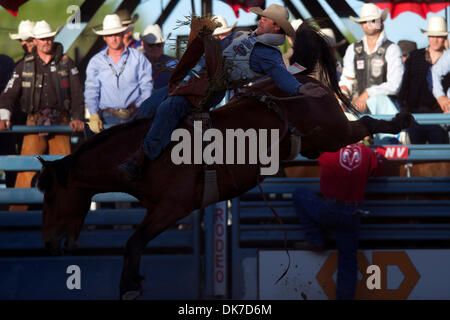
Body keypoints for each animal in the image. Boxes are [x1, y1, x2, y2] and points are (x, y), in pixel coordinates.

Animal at [37, 23, 416, 300]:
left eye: (50, 195)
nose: (49, 245)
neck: (145, 150)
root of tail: (301, 78)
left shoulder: (173, 207)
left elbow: (134, 241)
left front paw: (129, 286)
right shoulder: (158, 209)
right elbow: (136, 242)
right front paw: (132, 281)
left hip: (334, 133)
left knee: (364, 125)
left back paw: (402, 120)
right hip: (314, 145)